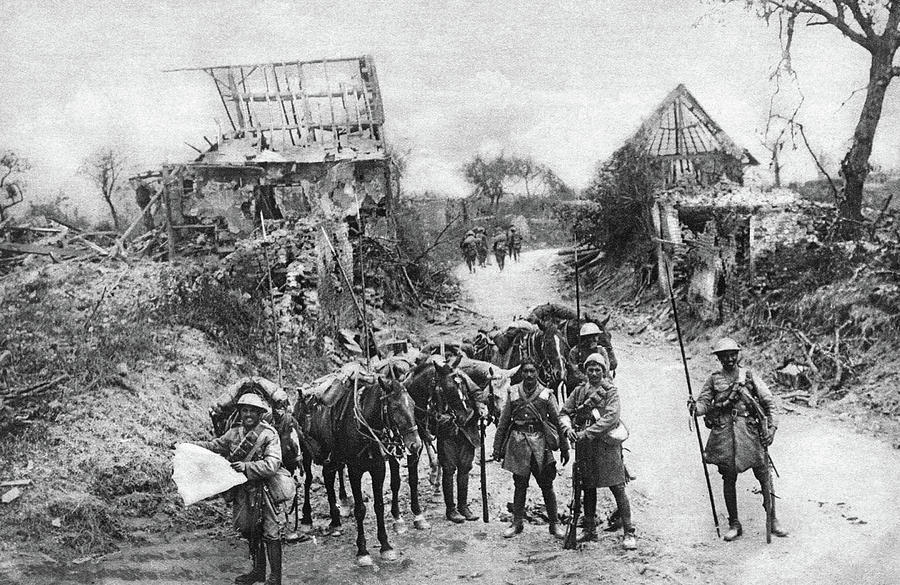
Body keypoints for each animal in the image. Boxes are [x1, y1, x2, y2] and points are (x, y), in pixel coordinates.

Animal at [304, 370, 420, 564]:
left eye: (412, 405)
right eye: (395, 407)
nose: (416, 445)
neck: (364, 427)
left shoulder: (378, 469)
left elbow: (379, 506)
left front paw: (386, 546)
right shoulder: (354, 471)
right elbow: (360, 510)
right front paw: (363, 551)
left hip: (332, 459)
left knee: (328, 479)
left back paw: (336, 521)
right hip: (306, 455)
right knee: (307, 482)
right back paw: (306, 519)